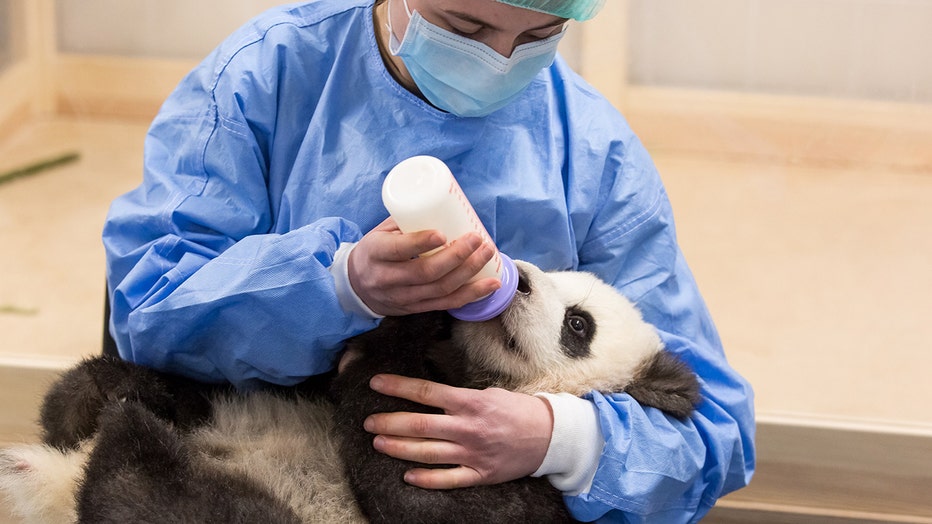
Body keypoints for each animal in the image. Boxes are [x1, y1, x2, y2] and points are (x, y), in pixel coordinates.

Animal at [0, 260, 700, 520]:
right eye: (549, 268)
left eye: (578, 324)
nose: (520, 278)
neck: (476, 375)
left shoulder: (527, 490)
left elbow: (424, 496)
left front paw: (390, 346)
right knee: (153, 397)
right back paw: (97, 403)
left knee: (172, 501)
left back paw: (130, 445)